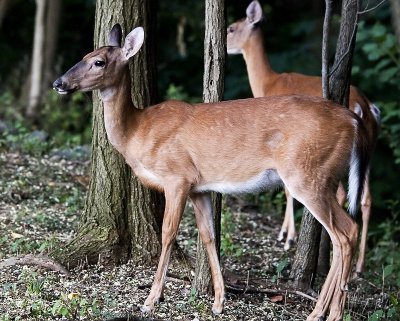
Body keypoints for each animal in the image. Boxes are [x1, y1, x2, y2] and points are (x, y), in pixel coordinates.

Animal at [54, 23, 372, 318]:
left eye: (98, 62)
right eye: (84, 55)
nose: (59, 82)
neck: (137, 132)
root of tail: (354, 120)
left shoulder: (177, 176)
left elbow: (168, 233)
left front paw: (151, 299)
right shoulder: (200, 187)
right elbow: (209, 236)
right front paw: (219, 302)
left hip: (306, 174)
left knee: (346, 232)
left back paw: (330, 312)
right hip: (323, 174)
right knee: (342, 231)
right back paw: (322, 310)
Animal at [227, 0, 380, 276]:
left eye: (231, 28)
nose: (223, 44)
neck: (267, 83)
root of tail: (366, 107)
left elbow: (287, 190)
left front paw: (286, 237)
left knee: (341, 195)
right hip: (368, 152)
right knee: (364, 198)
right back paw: (359, 266)